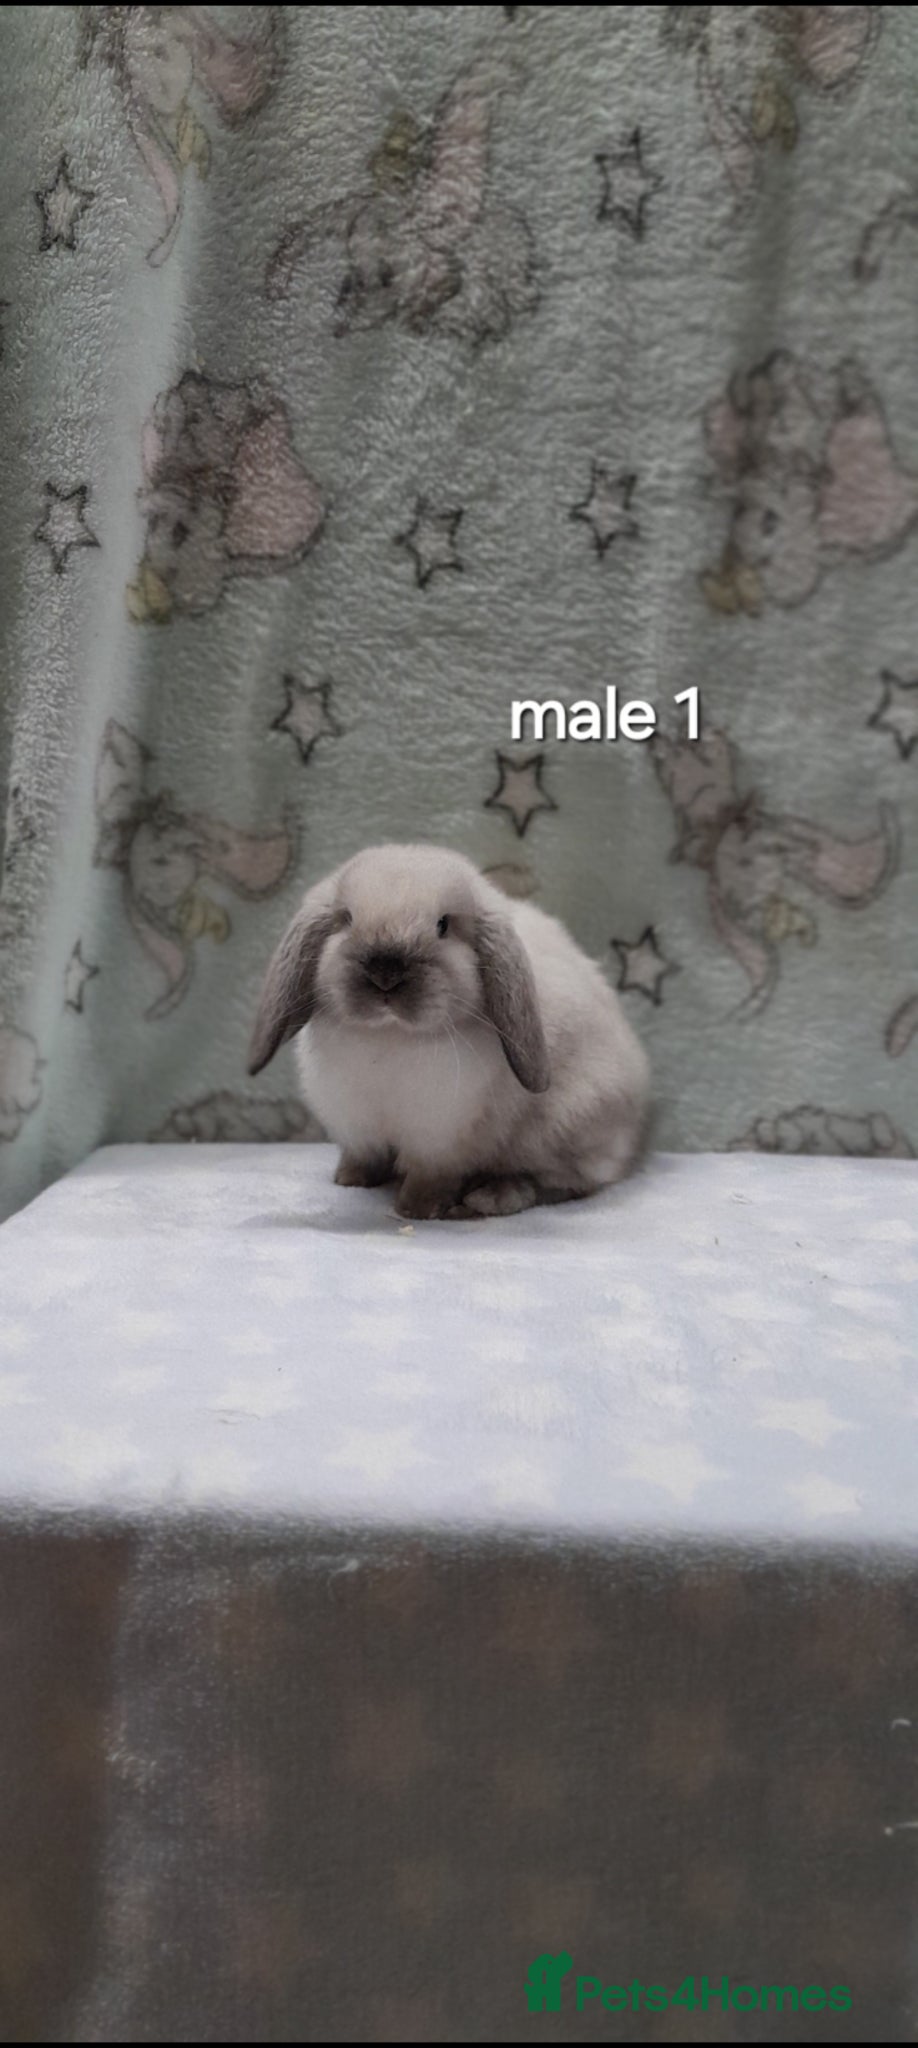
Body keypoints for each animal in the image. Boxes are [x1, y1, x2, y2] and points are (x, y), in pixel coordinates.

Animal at [247, 844, 650, 1220]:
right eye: (346, 919)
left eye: (442, 925)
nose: (385, 973)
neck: (390, 1036)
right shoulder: (359, 1129)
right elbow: (363, 1157)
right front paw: (349, 1181)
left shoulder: (441, 1140)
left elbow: (430, 1178)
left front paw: (416, 1210)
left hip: (562, 1129)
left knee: (564, 1183)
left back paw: (488, 1198)